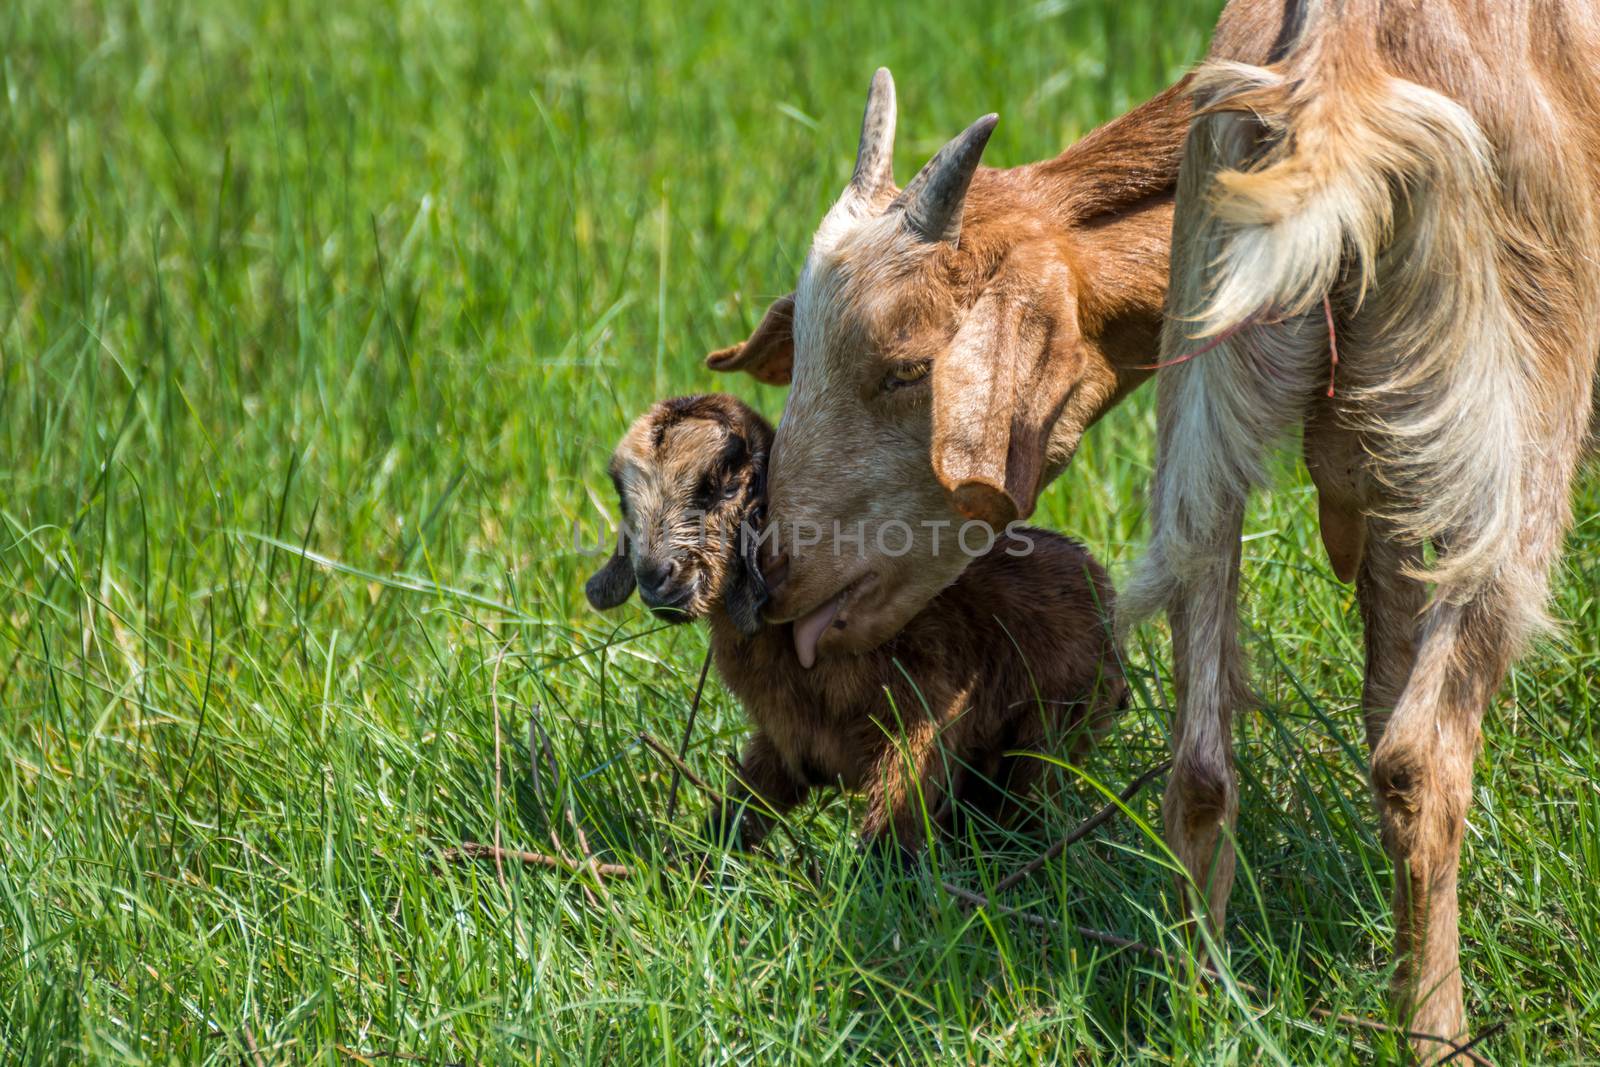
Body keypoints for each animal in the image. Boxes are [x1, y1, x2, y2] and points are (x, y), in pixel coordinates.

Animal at [588, 396, 1126, 857]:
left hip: (1051, 732)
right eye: (623, 499)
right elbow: (734, 823)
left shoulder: (920, 723)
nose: (656, 579)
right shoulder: (785, 748)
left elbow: (890, 839)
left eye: (723, 484)